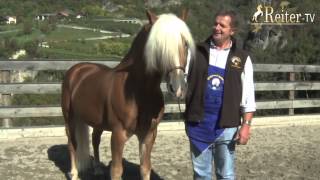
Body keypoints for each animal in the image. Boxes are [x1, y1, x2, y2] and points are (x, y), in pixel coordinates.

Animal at [60, 10, 195, 180]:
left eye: (185, 43)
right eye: (158, 45)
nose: (178, 87)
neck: (139, 92)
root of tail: (77, 70)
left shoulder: (149, 135)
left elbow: (145, 168)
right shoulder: (118, 135)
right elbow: (117, 170)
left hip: (97, 122)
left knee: (95, 139)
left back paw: (97, 169)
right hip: (70, 118)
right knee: (72, 144)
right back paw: (74, 173)